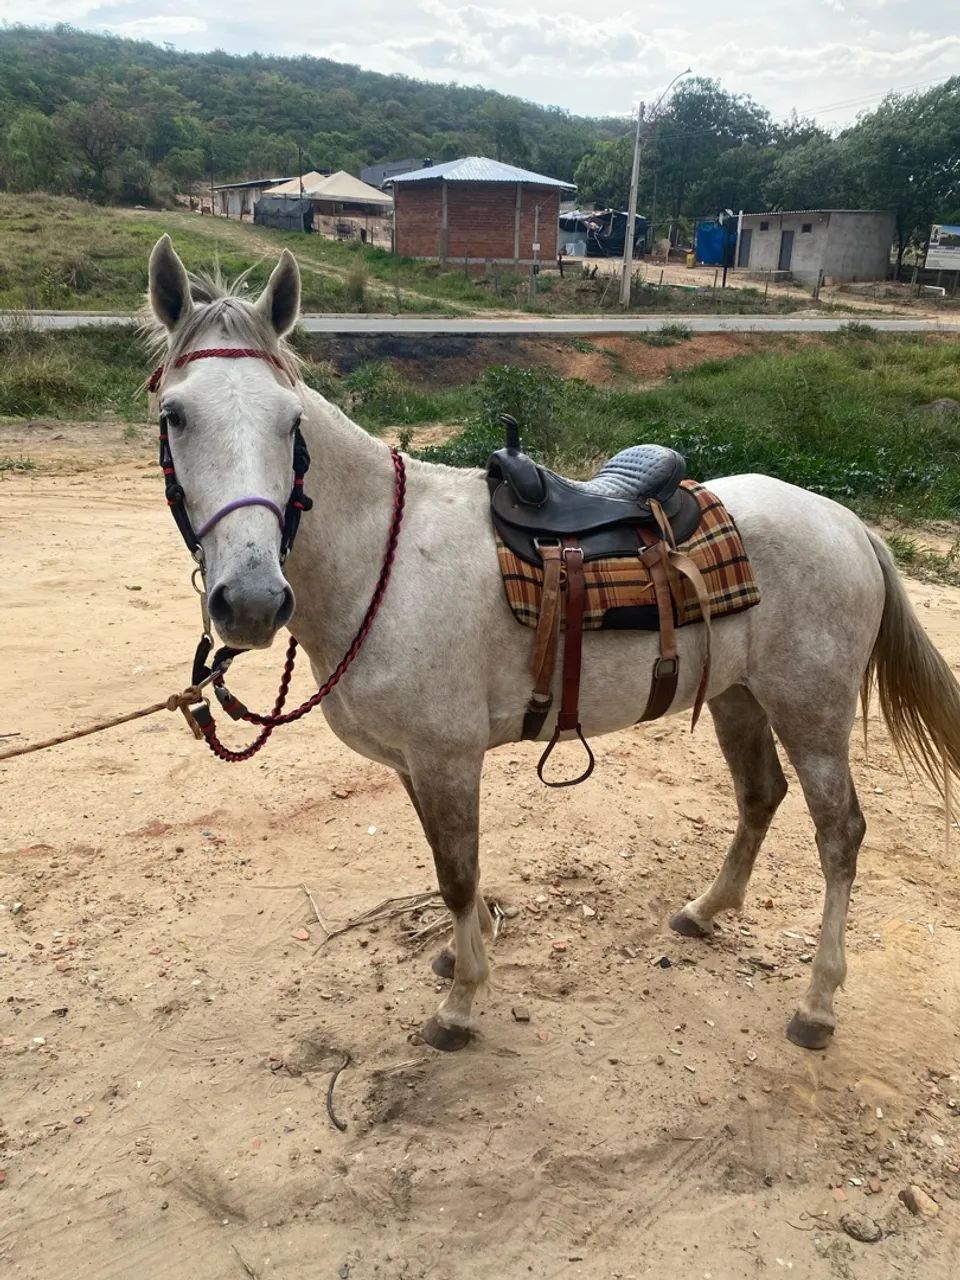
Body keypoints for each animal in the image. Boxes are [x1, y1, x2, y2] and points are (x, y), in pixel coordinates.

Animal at [145, 235, 960, 1053]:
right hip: (738, 696)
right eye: (174, 415)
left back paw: (818, 1003)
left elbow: (458, 876)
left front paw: (461, 1004)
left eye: (290, 423)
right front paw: (460, 956)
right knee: (761, 795)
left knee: (840, 834)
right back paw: (704, 911)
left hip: (811, 711)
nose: (252, 600)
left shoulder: (447, 757)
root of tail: (846, 521)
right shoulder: (414, 764)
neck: (384, 555)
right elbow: (448, 865)